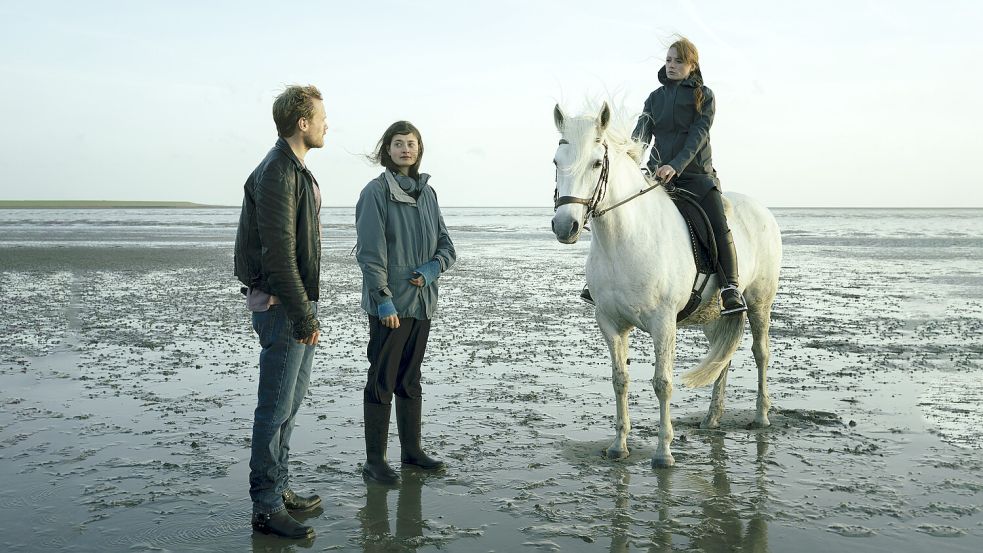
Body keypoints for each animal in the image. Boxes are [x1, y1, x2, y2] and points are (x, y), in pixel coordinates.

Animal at [548, 102, 780, 466]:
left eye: (597, 163)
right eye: (556, 162)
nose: (564, 226)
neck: (623, 240)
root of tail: (761, 209)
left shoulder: (663, 323)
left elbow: (662, 383)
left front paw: (663, 452)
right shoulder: (610, 323)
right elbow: (620, 380)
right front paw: (619, 446)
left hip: (759, 303)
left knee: (761, 353)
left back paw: (761, 416)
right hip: (713, 317)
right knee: (722, 359)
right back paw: (712, 418)